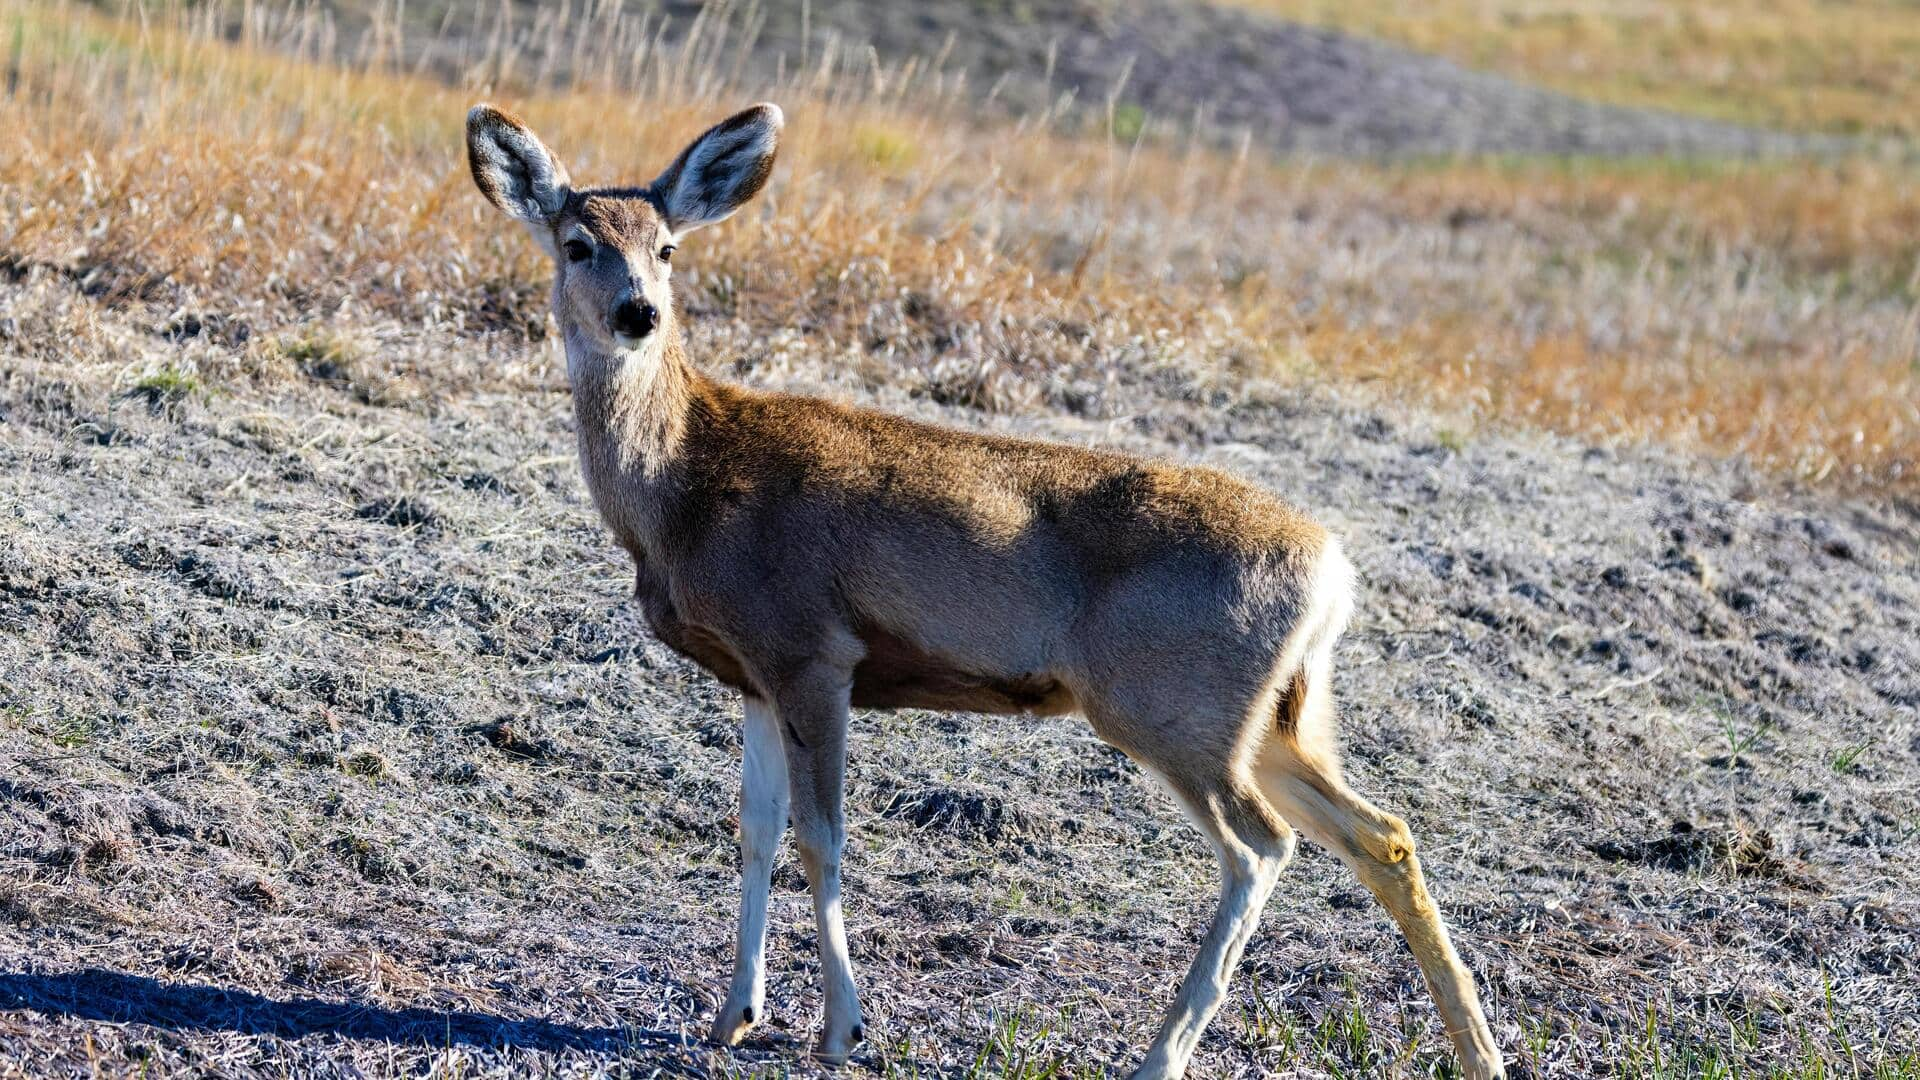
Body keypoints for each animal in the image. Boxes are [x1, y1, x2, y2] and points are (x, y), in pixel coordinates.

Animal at [468, 100, 1512, 1076]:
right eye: (578, 243)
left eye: (668, 248)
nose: (638, 312)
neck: (688, 485)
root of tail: (1333, 569)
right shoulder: (753, 673)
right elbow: (754, 833)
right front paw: (733, 1016)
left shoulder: (813, 648)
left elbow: (821, 838)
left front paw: (842, 1029)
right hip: (1277, 717)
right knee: (1384, 833)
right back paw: (1480, 1051)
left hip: (1172, 702)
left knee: (1262, 847)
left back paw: (1159, 1055)